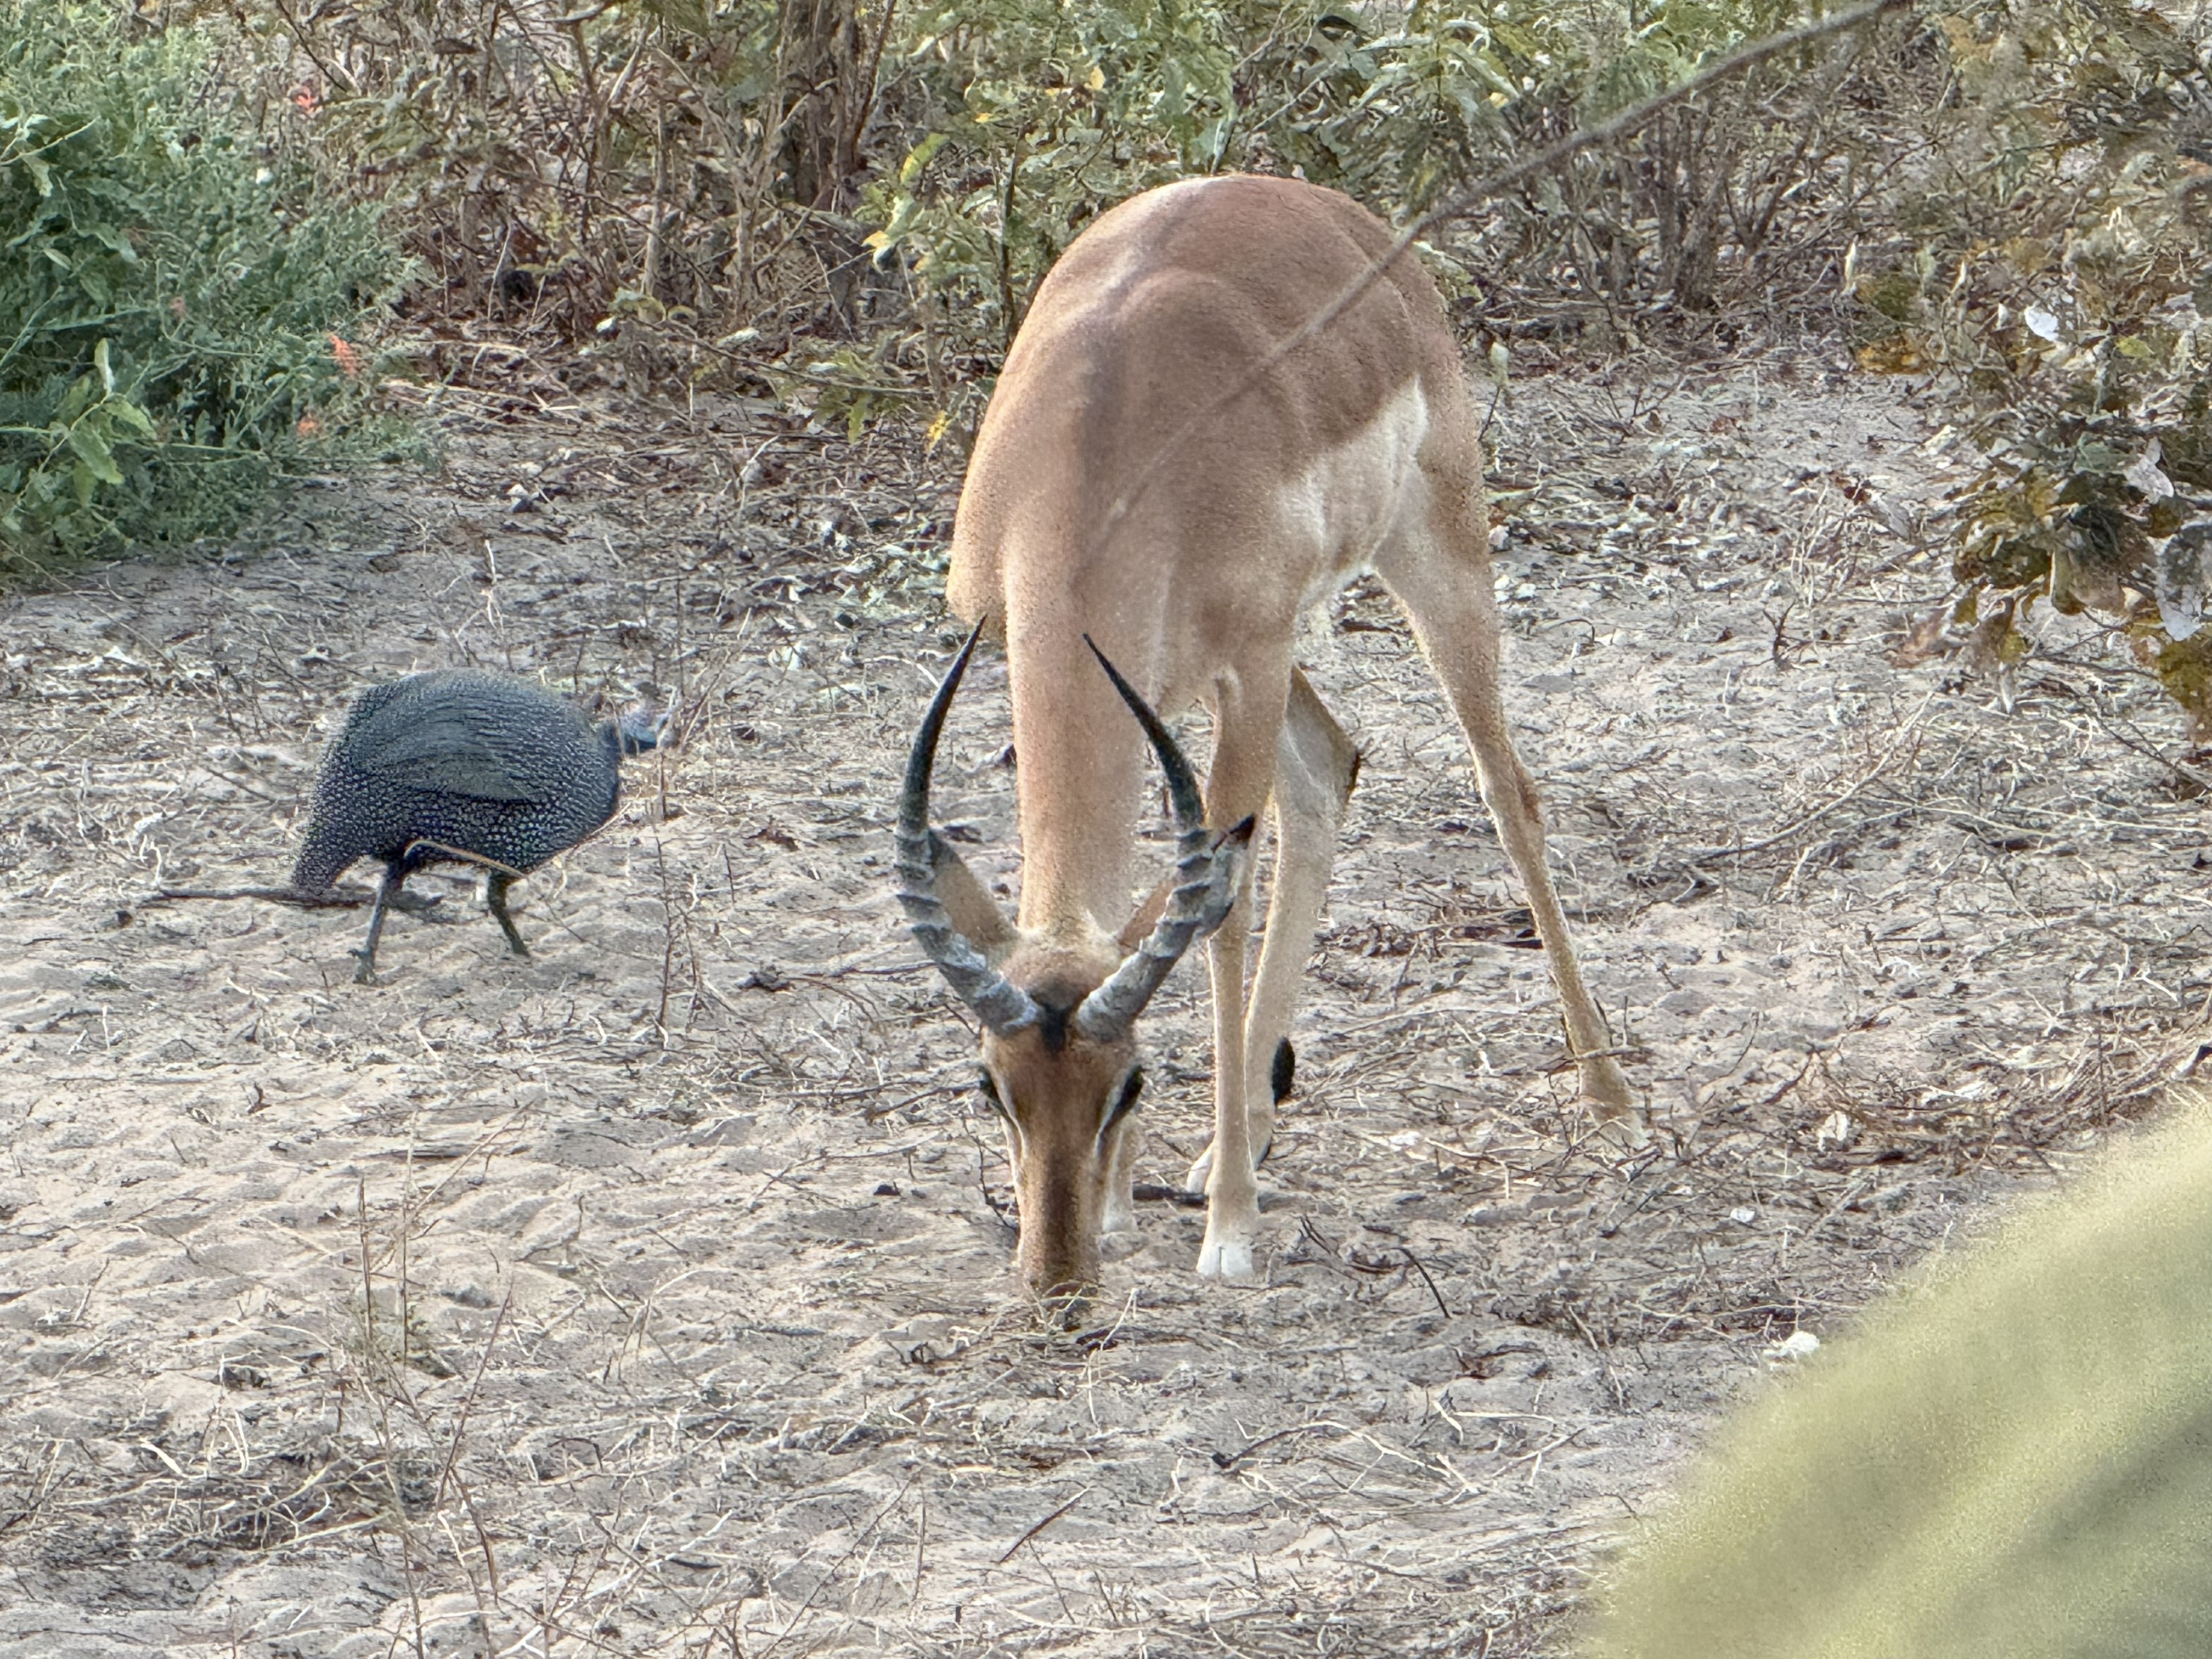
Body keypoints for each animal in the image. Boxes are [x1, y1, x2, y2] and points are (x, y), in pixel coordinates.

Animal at [896, 174, 1637, 1298]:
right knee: (1327, 770)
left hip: (1425, 563)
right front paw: (1133, 1201)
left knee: (1507, 792)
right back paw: (1234, 1135)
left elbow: (1220, 911)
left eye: (1130, 1081)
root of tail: (1331, 210)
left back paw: (1608, 1099)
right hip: (1252, 664)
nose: (1058, 1276)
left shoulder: (1245, 663)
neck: (1100, 446)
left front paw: (1229, 1229)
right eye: (992, 1086)